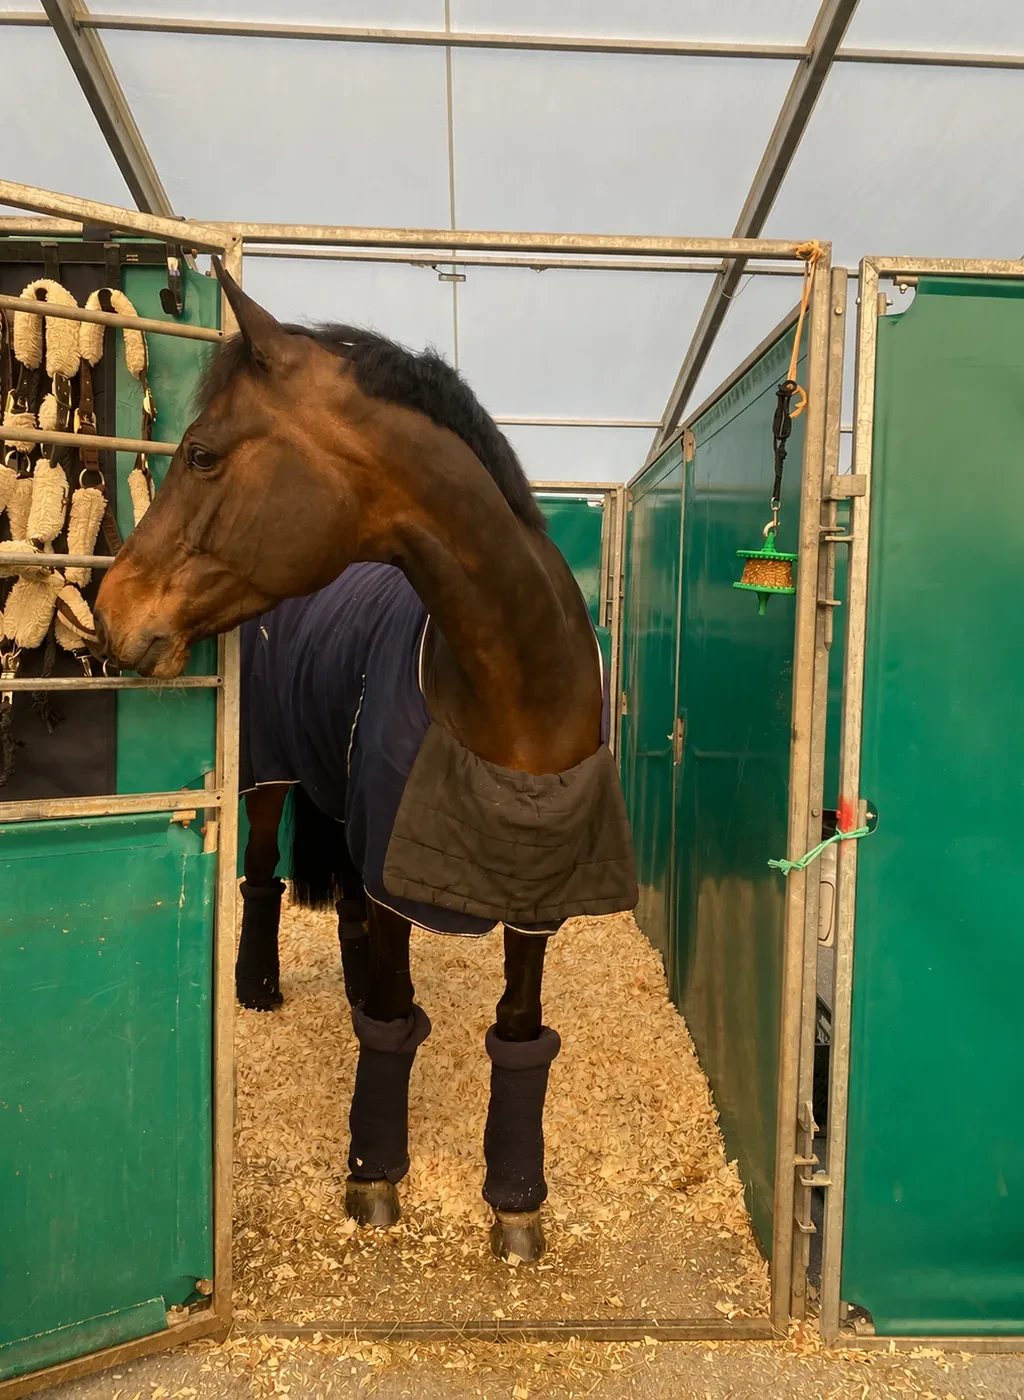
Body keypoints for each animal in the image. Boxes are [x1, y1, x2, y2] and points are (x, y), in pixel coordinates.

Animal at [94, 261, 638, 1263]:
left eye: (203, 455)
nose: (110, 609)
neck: (511, 697)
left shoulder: (537, 893)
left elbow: (517, 1029)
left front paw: (515, 1202)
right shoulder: (395, 871)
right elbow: (389, 1020)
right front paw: (375, 1177)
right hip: (270, 776)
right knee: (263, 874)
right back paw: (259, 986)